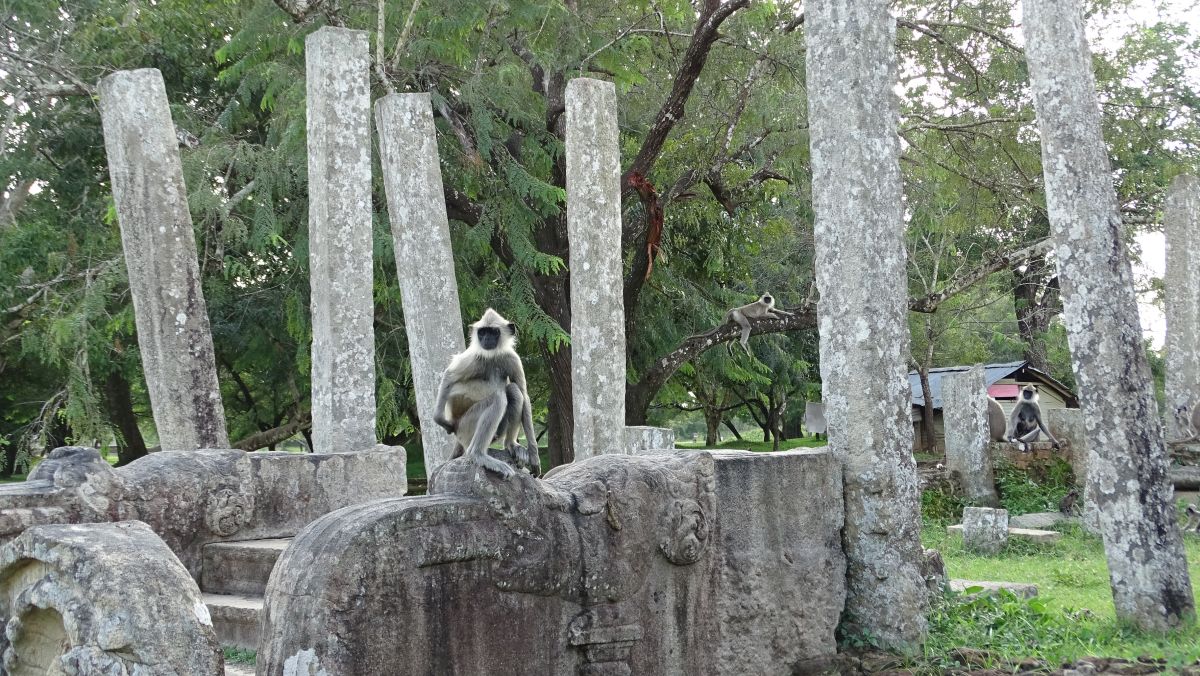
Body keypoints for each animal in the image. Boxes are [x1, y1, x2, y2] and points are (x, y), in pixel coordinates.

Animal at [432, 309, 540, 477]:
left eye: (493, 332)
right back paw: (478, 454)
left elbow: (524, 395)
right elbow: (449, 376)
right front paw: (439, 419)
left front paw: (534, 456)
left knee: (514, 391)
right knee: (498, 398)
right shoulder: (474, 356)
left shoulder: (512, 358)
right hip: (465, 427)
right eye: (482, 332)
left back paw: (511, 444)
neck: (492, 356)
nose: (486, 338)